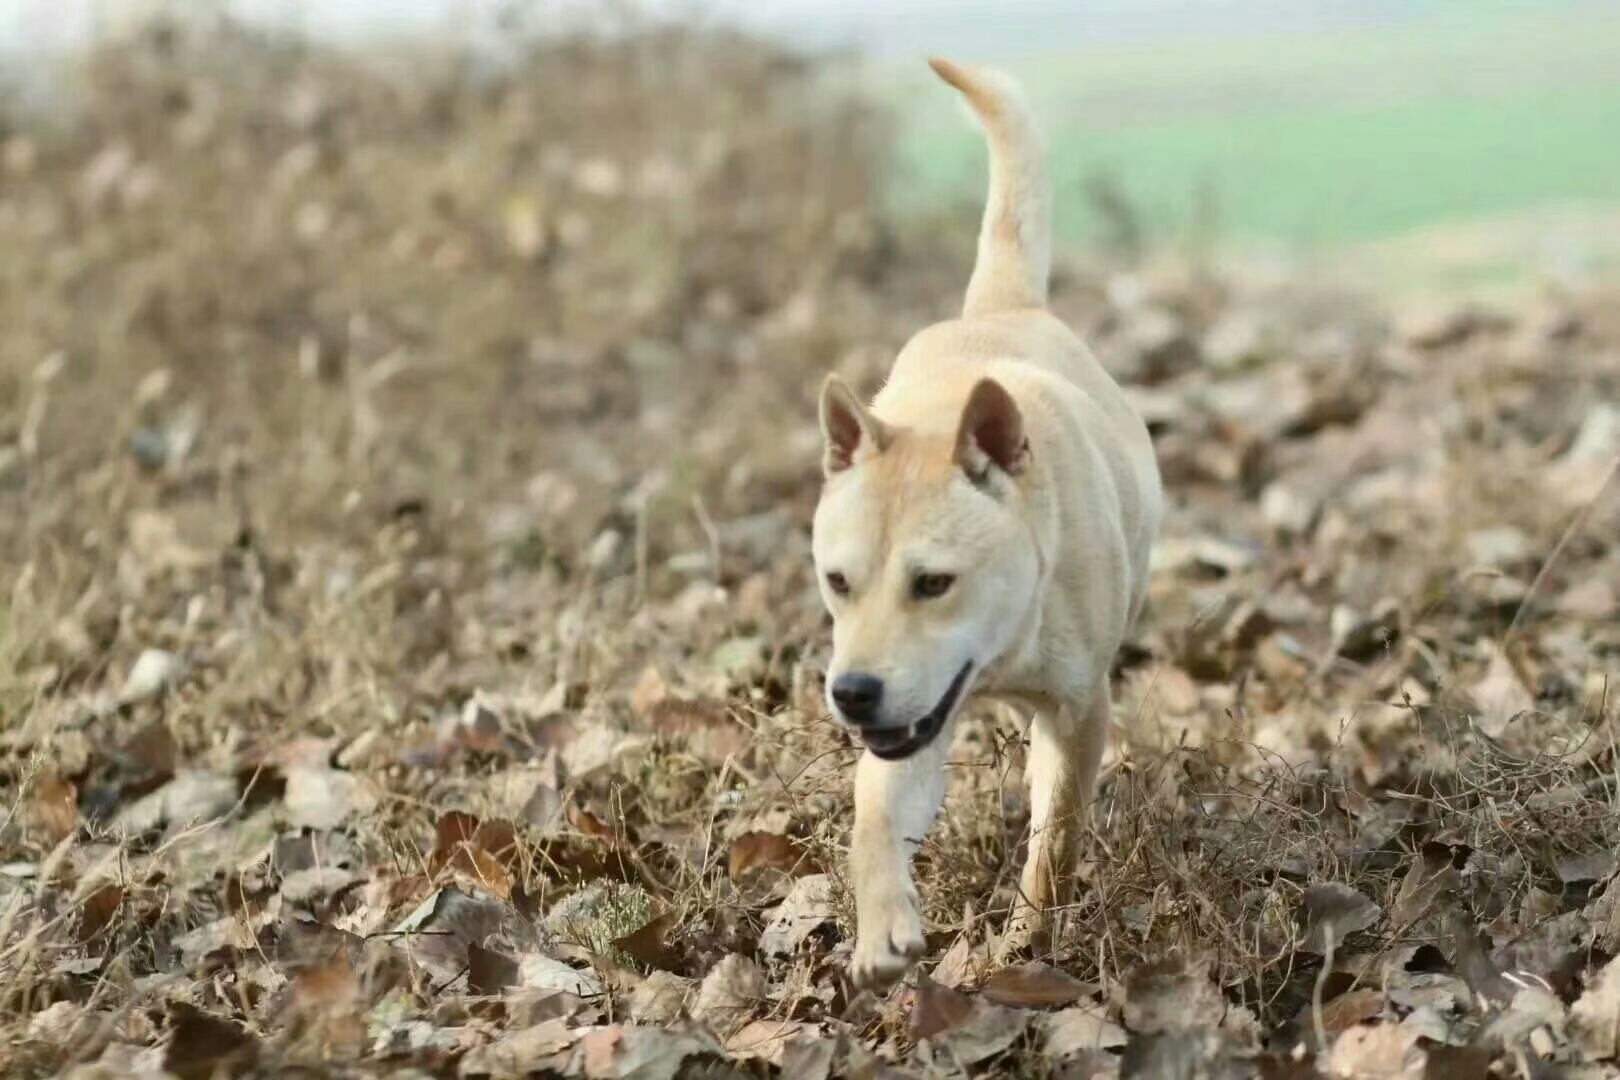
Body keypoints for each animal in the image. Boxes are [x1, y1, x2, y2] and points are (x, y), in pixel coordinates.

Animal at [816, 57, 1159, 990]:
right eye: (837, 583)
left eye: (934, 582)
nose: (851, 693)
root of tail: (996, 309)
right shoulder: (911, 722)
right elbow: (872, 810)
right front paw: (881, 928)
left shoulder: (1078, 712)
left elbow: (1056, 836)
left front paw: (1028, 943)